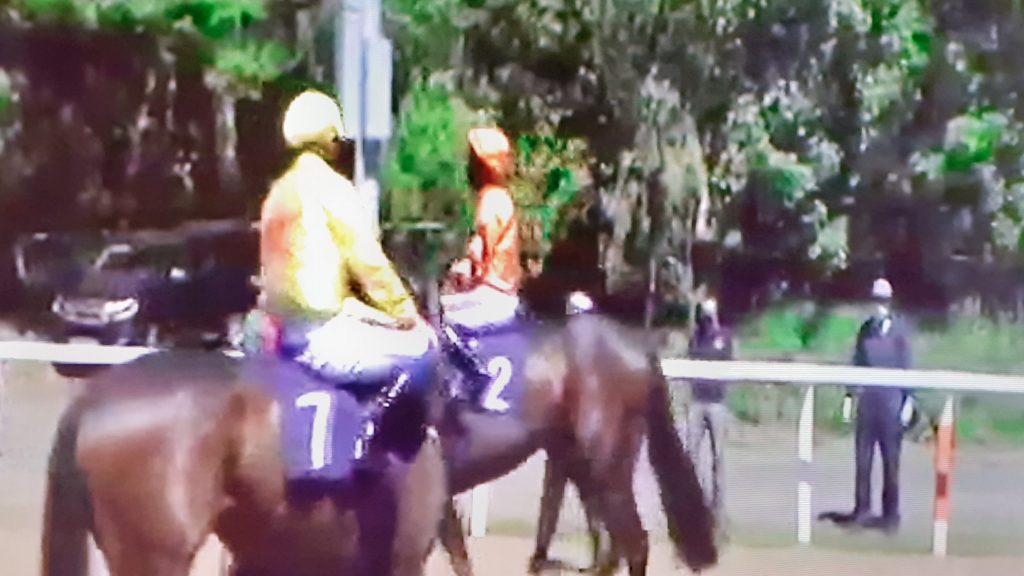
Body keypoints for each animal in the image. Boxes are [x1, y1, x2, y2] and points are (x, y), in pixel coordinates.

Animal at [434, 309, 720, 573]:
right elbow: (457, 553)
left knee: (635, 544)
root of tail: (638, 348)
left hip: (607, 466)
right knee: (607, 544)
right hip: (580, 466)